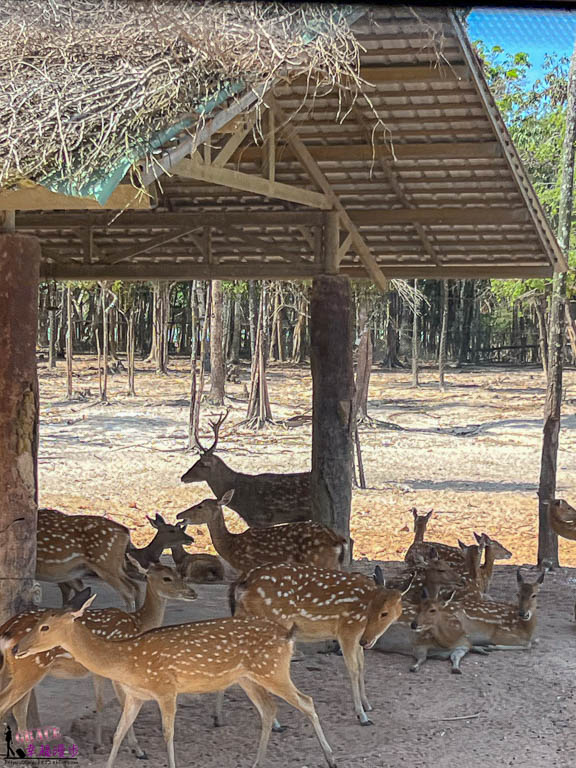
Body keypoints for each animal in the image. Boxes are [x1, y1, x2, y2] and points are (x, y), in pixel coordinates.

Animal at [0, 561, 197, 757]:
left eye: (179, 574)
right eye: (167, 578)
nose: (192, 593)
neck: (138, 624)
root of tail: (6, 630)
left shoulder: (98, 670)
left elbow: (99, 702)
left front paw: (98, 744)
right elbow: (123, 704)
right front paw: (136, 748)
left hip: (13, 669)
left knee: (18, 708)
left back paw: (28, 749)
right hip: (32, 667)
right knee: (11, 704)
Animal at [11, 597, 337, 768]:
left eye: (45, 626)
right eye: (37, 622)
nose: (16, 649)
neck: (125, 661)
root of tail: (288, 635)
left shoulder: (166, 688)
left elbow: (168, 734)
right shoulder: (136, 695)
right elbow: (118, 733)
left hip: (273, 670)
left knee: (307, 701)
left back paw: (331, 758)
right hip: (248, 677)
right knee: (269, 710)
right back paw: (257, 763)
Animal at [176, 488, 348, 576]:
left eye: (200, 506)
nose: (179, 515)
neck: (231, 546)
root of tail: (337, 540)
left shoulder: (247, 566)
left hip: (318, 560)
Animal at [221, 562, 404, 727]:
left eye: (384, 613)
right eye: (373, 610)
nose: (368, 641)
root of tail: (241, 584)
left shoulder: (358, 637)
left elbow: (361, 666)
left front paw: (367, 705)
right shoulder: (347, 630)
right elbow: (353, 670)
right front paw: (362, 716)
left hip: (244, 618)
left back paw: (220, 718)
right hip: (272, 620)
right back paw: (275, 724)